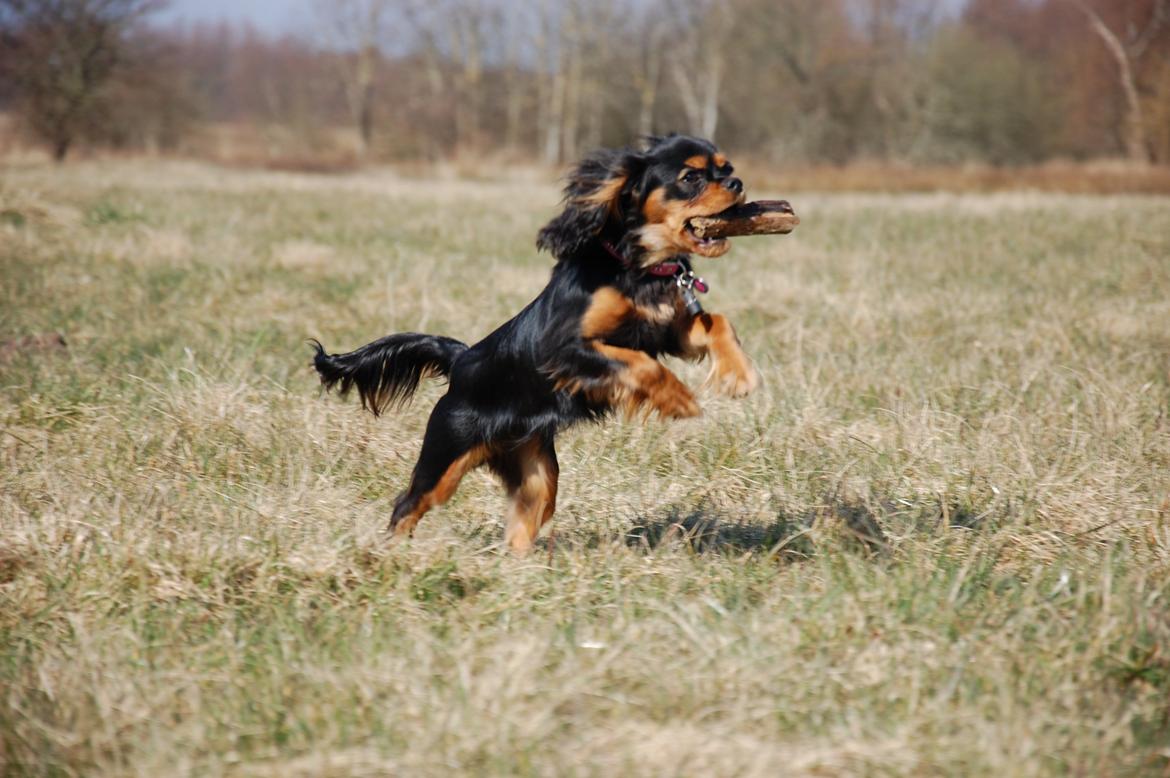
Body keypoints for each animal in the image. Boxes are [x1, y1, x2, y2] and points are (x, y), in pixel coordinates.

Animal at [315, 133, 762, 549]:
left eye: (726, 168)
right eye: (691, 178)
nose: (737, 182)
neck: (638, 267)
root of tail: (462, 359)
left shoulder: (670, 328)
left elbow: (718, 324)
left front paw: (739, 375)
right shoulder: (565, 349)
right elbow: (639, 365)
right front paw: (680, 400)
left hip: (536, 469)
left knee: (524, 519)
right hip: (446, 455)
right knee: (408, 505)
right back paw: (391, 555)